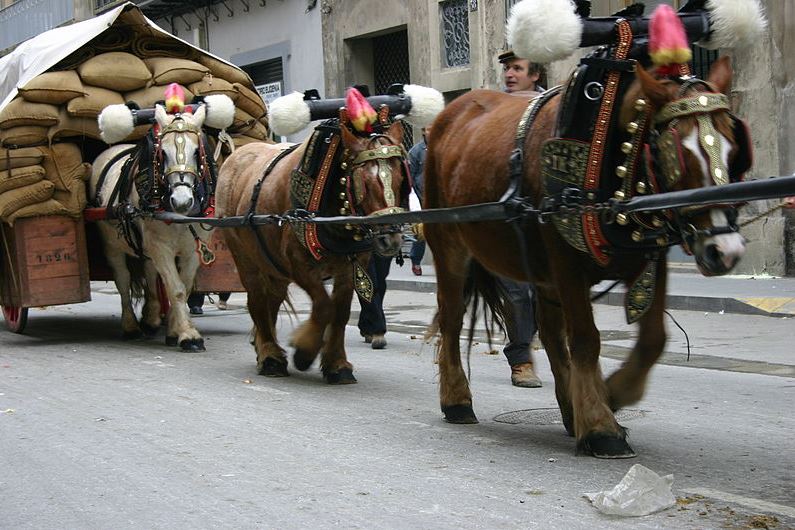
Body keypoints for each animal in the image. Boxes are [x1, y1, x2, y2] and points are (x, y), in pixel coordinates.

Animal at [91, 94, 233, 350]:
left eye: (197, 152)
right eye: (162, 153)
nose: (182, 200)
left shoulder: (192, 250)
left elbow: (183, 286)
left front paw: (176, 330)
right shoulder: (161, 247)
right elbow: (175, 289)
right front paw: (188, 335)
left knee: (149, 273)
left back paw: (151, 318)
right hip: (112, 245)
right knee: (122, 279)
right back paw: (131, 326)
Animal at [215, 117, 408, 384]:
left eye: (400, 179)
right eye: (365, 183)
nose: (391, 239)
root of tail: (237, 156)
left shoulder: (350, 267)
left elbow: (340, 312)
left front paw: (337, 365)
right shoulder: (298, 265)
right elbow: (324, 306)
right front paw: (304, 352)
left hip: (272, 265)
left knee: (271, 300)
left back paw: (265, 347)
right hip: (244, 258)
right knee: (257, 299)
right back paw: (270, 356)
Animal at [422, 55, 752, 456]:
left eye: (733, 147)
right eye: (679, 153)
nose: (725, 250)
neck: (607, 145)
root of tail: (450, 113)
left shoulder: (648, 261)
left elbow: (653, 339)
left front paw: (613, 394)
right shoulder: (566, 264)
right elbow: (585, 339)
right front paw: (600, 425)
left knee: (549, 333)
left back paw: (568, 408)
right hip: (449, 244)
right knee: (452, 318)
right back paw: (457, 400)